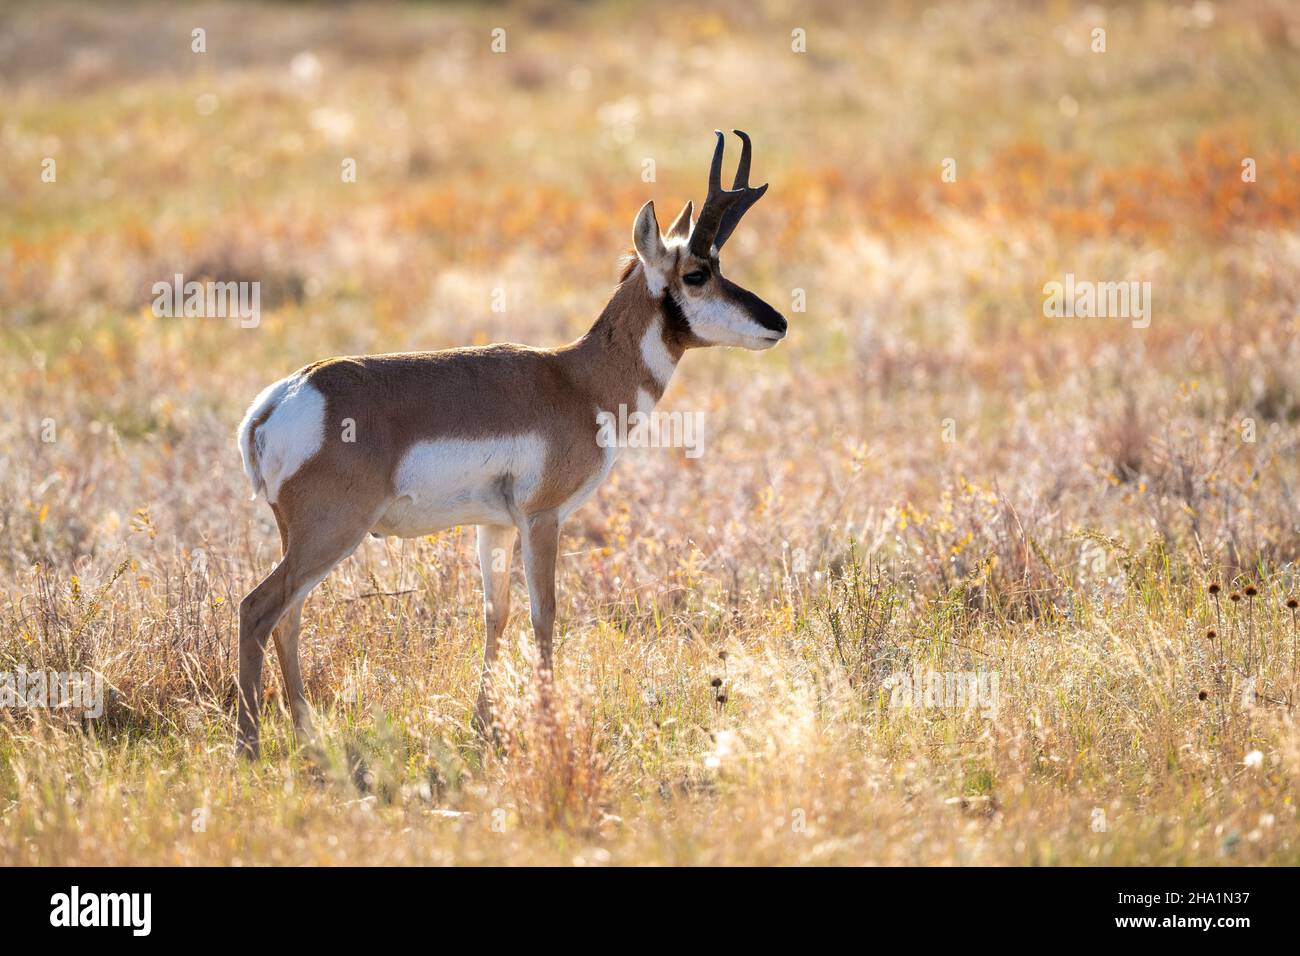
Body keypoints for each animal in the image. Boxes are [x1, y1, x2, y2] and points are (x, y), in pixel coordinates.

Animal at [234, 130, 787, 757]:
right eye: (696, 273)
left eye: (719, 265)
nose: (778, 322)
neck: (576, 378)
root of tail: (285, 396)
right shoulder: (542, 518)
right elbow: (545, 614)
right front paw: (547, 727)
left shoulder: (493, 526)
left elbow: (494, 614)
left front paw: (484, 727)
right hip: (332, 535)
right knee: (258, 610)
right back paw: (250, 748)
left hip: (306, 541)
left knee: (289, 617)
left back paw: (309, 735)